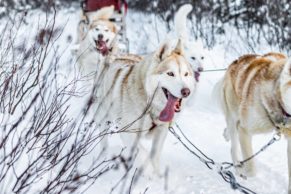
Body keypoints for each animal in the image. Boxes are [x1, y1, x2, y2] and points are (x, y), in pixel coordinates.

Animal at [94, 39, 196, 171]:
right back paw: (103, 156)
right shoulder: (128, 132)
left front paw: (156, 173)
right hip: (103, 116)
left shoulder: (161, 131)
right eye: (170, 74)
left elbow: (154, 155)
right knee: (103, 139)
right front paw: (148, 171)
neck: (150, 105)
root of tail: (115, 56)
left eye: (186, 74)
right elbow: (142, 154)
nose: (186, 91)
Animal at [216, 52, 291, 192]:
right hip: (233, 117)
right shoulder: (244, 130)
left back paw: (225, 135)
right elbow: (251, 170)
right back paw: (237, 166)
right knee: (233, 146)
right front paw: (243, 170)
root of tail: (236, 61)